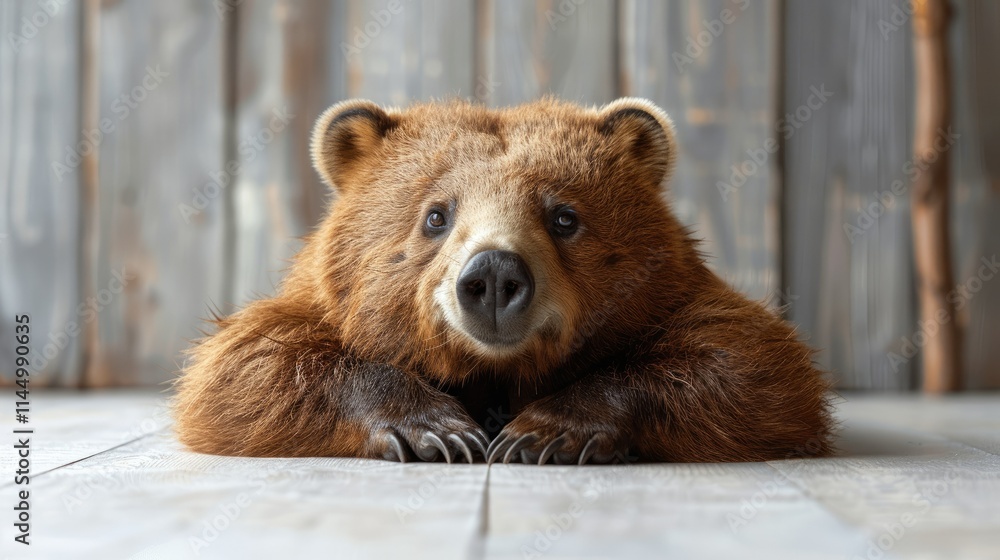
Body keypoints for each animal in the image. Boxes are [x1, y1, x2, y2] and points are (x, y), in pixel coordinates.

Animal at [173, 97, 834, 464]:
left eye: (564, 216)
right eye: (436, 215)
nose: (493, 274)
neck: (495, 371)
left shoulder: (673, 301)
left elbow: (749, 363)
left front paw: (545, 432)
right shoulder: (320, 303)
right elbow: (246, 366)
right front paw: (436, 430)